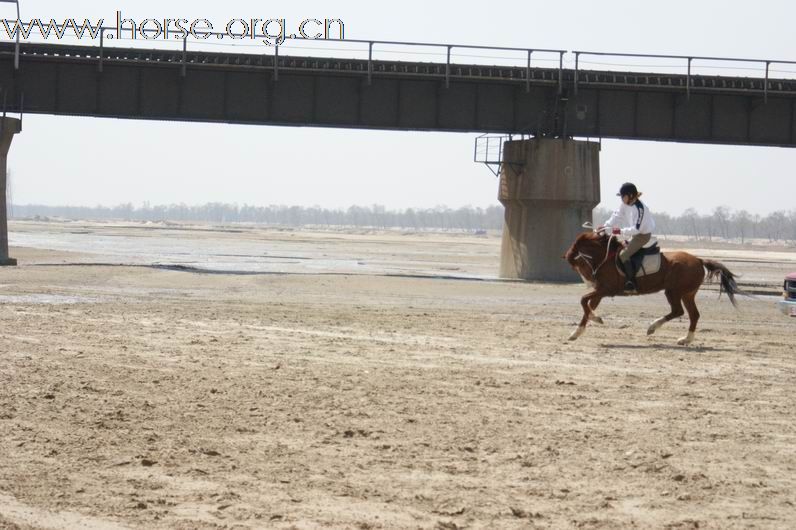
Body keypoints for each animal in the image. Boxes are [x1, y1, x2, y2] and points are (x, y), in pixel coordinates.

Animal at [564, 229, 744, 344]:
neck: (605, 258)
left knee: (678, 311)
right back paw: (686, 339)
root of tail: (699, 260)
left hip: (674, 292)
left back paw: (652, 327)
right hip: (687, 294)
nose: (590, 280)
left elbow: (583, 301)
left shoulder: (605, 290)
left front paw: (597, 319)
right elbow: (587, 308)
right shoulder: (600, 291)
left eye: (579, 262)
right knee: (693, 315)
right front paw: (576, 333)